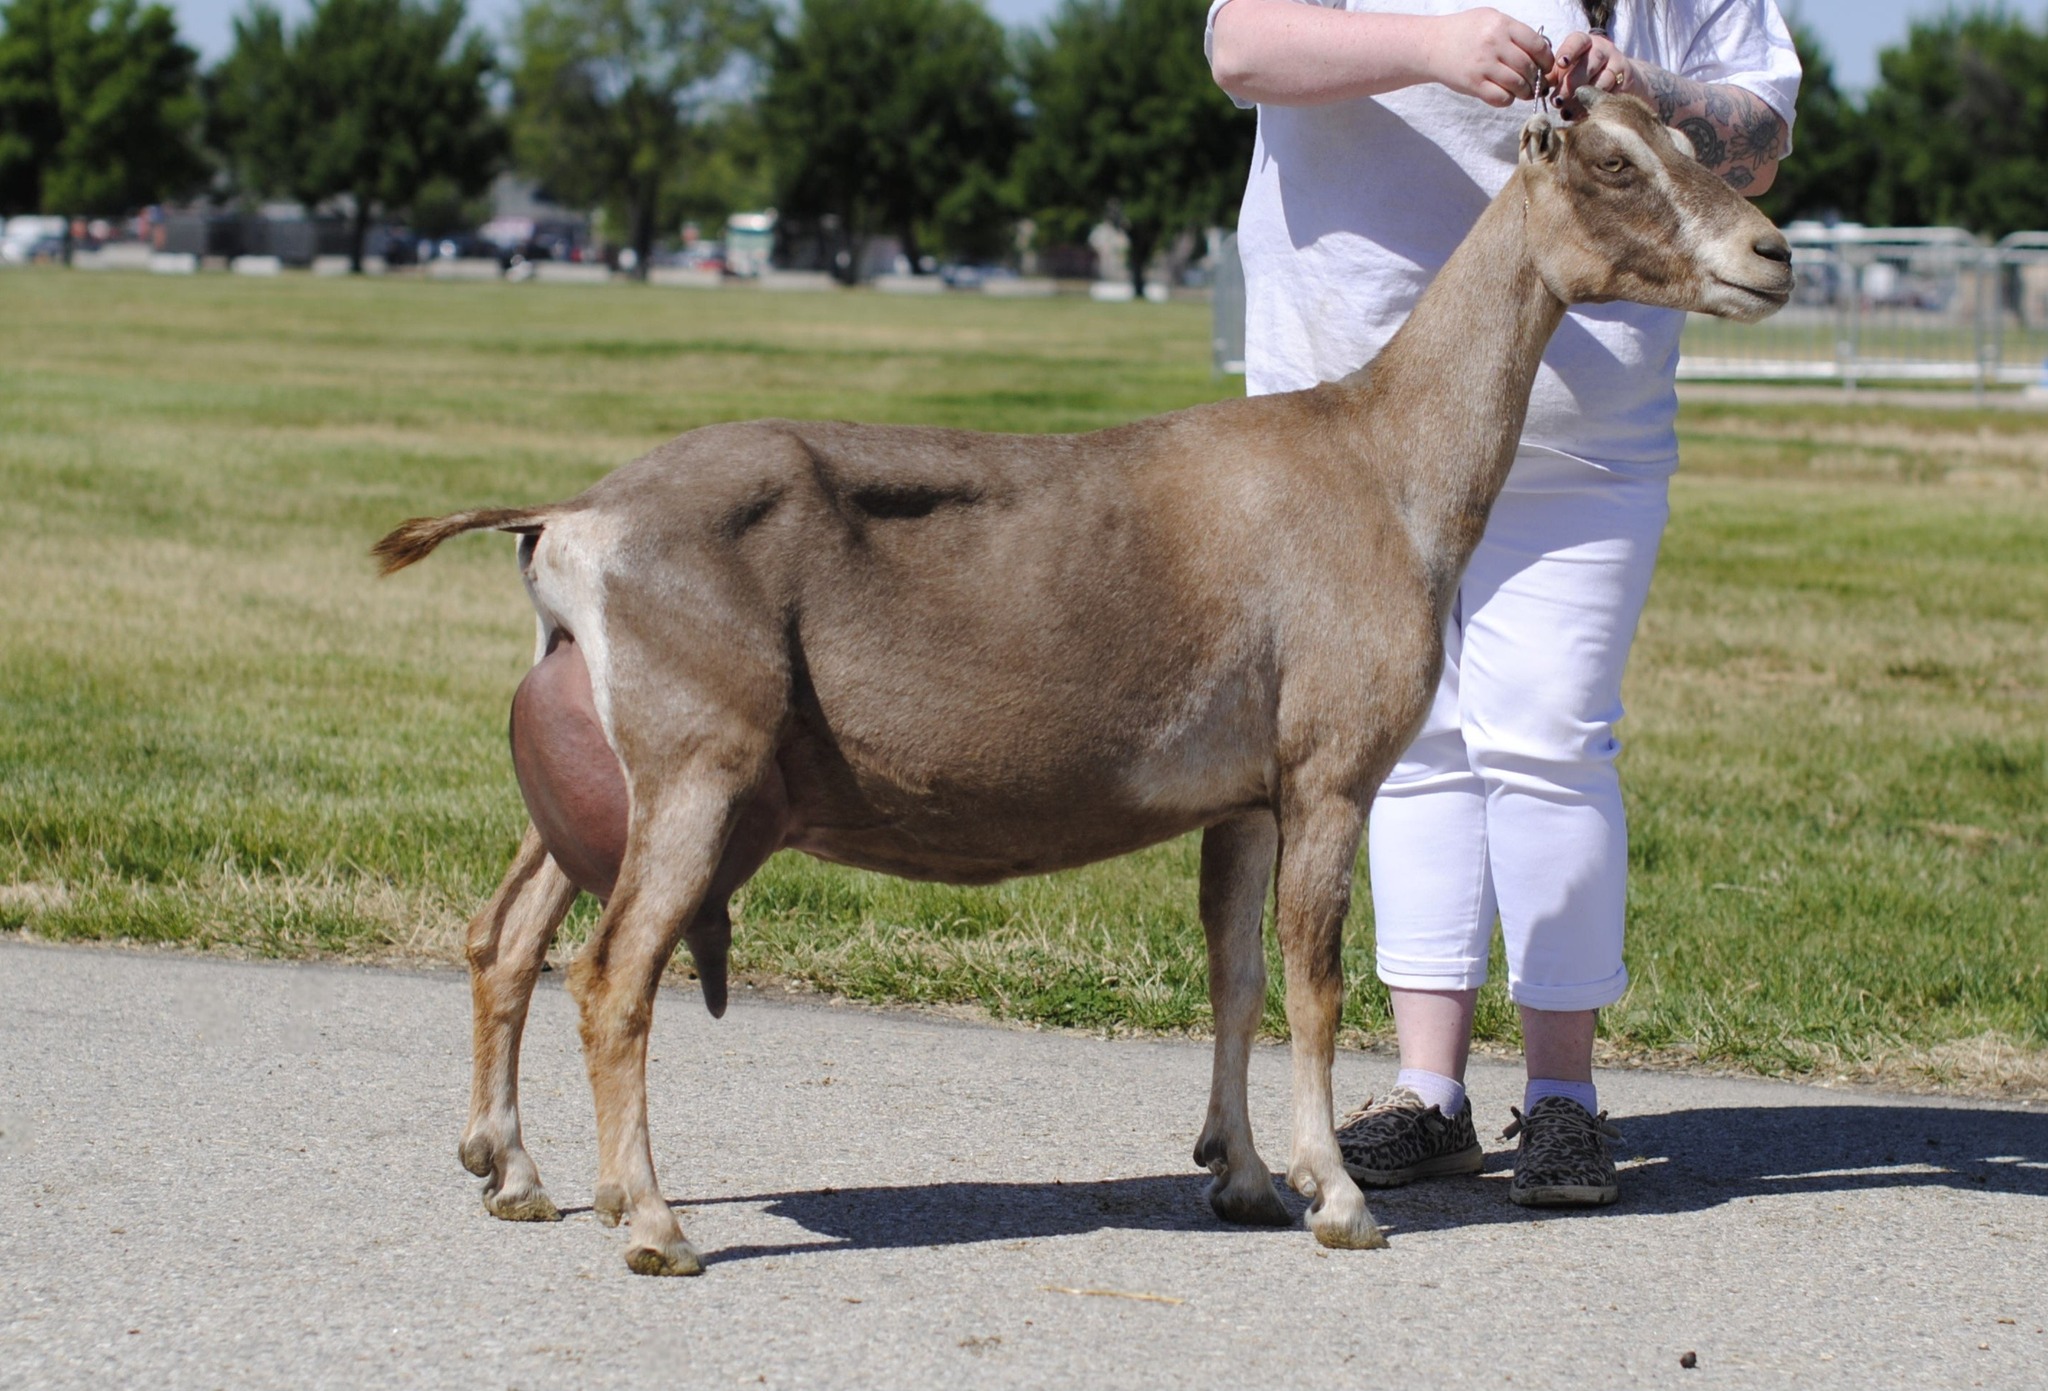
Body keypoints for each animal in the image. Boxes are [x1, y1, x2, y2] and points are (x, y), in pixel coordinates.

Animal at [376, 94, 1790, 1275]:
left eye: (1690, 140)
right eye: (1612, 161)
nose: (1771, 253)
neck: (1378, 460)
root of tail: (570, 520)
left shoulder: (1245, 795)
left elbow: (1234, 973)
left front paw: (1241, 1178)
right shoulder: (1330, 770)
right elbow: (1315, 976)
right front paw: (1336, 1195)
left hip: (602, 767)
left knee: (504, 934)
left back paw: (515, 1171)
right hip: (695, 763)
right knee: (611, 974)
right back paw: (653, 1222)